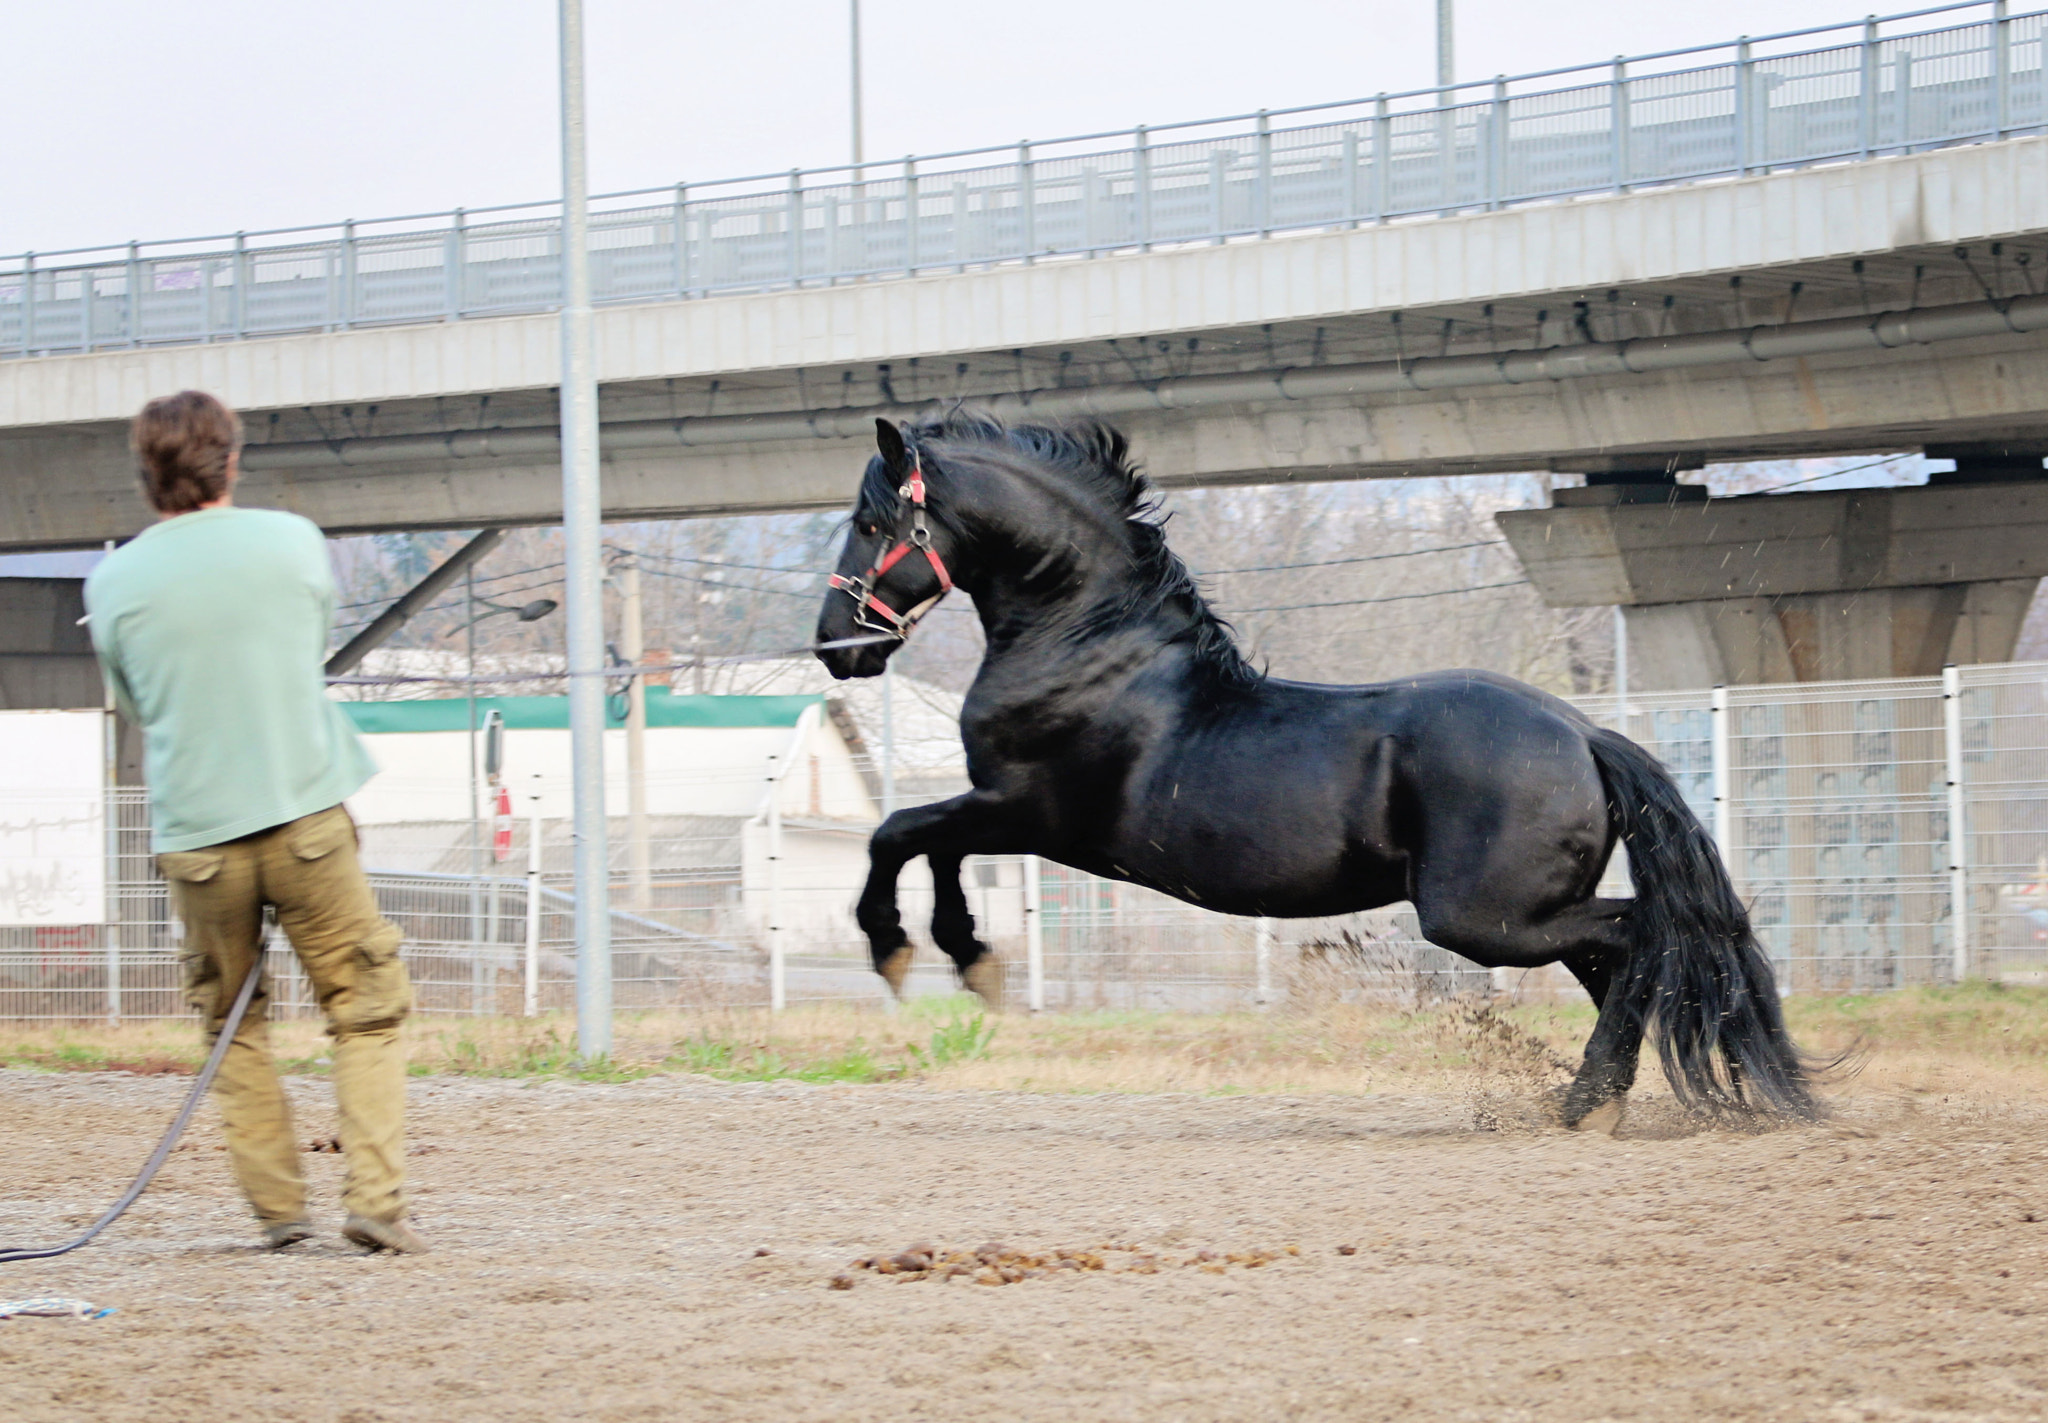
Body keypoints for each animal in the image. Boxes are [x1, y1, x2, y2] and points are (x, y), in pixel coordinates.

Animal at [814, 413, 1820, 1127]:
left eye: (870, 521)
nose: (835, 648)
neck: (1091, 647)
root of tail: (1582, 733)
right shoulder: (1012, 814)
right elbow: (926, 844)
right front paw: (964, 960)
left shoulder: (1028, 811)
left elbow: (900, 834)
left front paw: (910, 950)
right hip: (1522, 913)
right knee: (1620, 958)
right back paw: (1595, 1101)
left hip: (1481, 916)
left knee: (1636, 935)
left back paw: (1585, 1101)